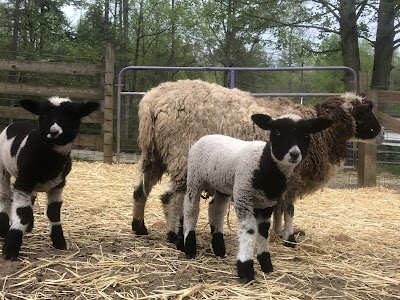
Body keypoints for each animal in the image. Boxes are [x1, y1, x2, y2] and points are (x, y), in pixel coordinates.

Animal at [0, 96, 99, 260]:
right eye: (44, 115)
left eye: (72, 116)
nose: (54, 132)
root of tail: (14, 123)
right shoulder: (23, 182)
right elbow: (22, 212)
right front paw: (10, 249)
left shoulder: (58, 184)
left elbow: (53, 212)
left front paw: (59, 242)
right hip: (3, 169)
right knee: (5, 197)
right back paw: (3, 229)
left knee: (30, 199)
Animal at [132, 79, 384, 248]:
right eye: (365, 112)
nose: (382, 134)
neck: (322, 134)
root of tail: (152, 101)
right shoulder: (293, 176)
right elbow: (289, 208)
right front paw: (290, 238)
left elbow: (279, 209)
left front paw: (277, 233)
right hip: (182, 156)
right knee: (171, 197)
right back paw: (175, 236)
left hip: (154, 155)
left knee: (140, 190)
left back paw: (140, 228)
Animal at [184, 113, 332, 282]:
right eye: (277, 132)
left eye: (307, 135)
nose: (294, 154)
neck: (264, 164)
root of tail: (207, 136)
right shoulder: (243, 197)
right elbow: (249, 231)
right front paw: (246, 269)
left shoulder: (267, 203)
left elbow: (263, 230)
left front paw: (266, 264)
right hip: (195, 178)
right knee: (191, 209)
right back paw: (189, 248)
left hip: (222, 184)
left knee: (216, 210)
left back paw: (219, 249)